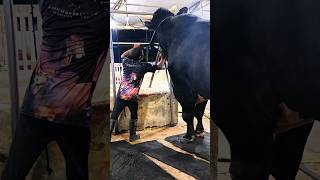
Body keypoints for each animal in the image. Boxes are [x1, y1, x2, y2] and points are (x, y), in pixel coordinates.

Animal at [146, 8, 211, 141]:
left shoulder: (182, 87)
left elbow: (188, 115)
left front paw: (189, 135)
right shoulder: (201, 90)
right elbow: (199, 112)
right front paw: (199, 131)